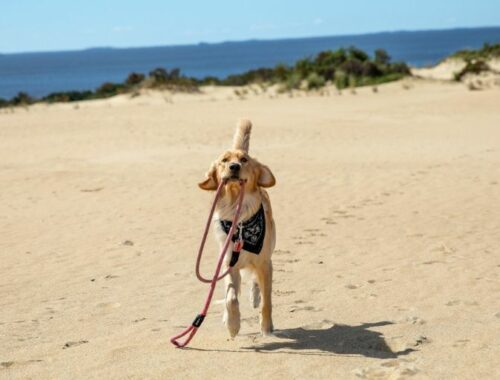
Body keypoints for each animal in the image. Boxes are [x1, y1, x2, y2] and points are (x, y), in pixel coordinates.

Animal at [199, 120, 278, 336]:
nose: (234, 166)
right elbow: (231, 297)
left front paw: (266, 327)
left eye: (244, 160)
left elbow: (267, 301)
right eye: (224, 160)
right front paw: (233, 324)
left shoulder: (265, 263)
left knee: (257, 284)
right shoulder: (228, 264)